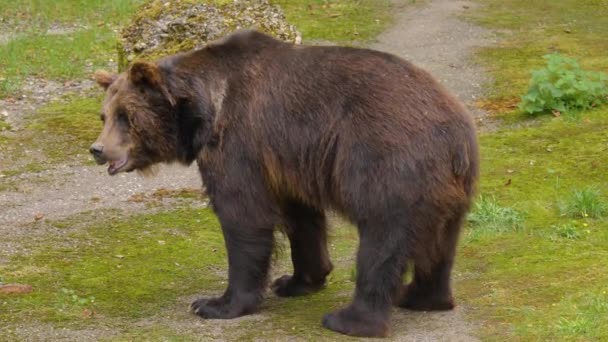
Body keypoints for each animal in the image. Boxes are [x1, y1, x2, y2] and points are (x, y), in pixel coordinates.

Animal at [91, 28, 480, 336]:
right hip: (450, 189)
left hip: (388, 165)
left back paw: (350, 320)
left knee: (381, 241)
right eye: (104, 115)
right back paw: (421, 296)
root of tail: (455, 134)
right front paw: (296, 280)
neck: (203, 110)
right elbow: (302, 218)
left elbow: (243, 216)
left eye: (127, 117)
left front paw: (215, 303)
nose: (97, 150)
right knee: (440, 244)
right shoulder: (286, 162)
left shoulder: (240, 142)